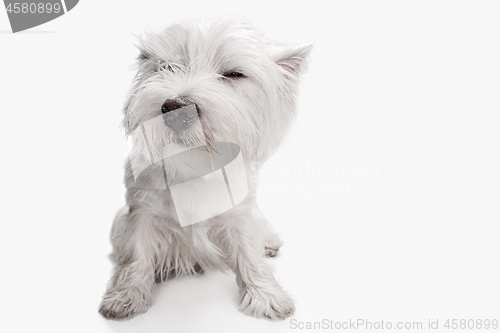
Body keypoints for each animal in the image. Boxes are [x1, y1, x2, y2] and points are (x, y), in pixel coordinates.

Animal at [98, 17, 312, 320]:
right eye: (167, 67)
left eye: (234, 74)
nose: (175, 108)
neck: (196, 164)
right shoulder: (141, 212)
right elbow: (135, 254)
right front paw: (125, 297)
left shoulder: (238, 215)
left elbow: (249, 254)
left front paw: (266, 296)